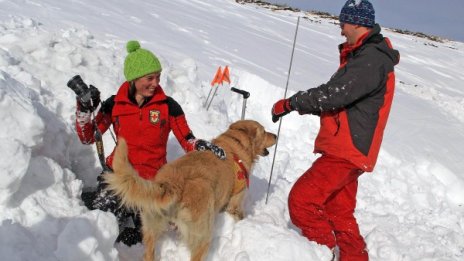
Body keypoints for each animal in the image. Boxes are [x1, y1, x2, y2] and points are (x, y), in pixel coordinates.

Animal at [104, 119, 276, 258]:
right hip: (203, 236)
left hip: (151, 227)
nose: (275, 135)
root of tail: (174, 182)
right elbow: (239, 214)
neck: (235, 143)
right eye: (264, 131)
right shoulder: (235, 202)